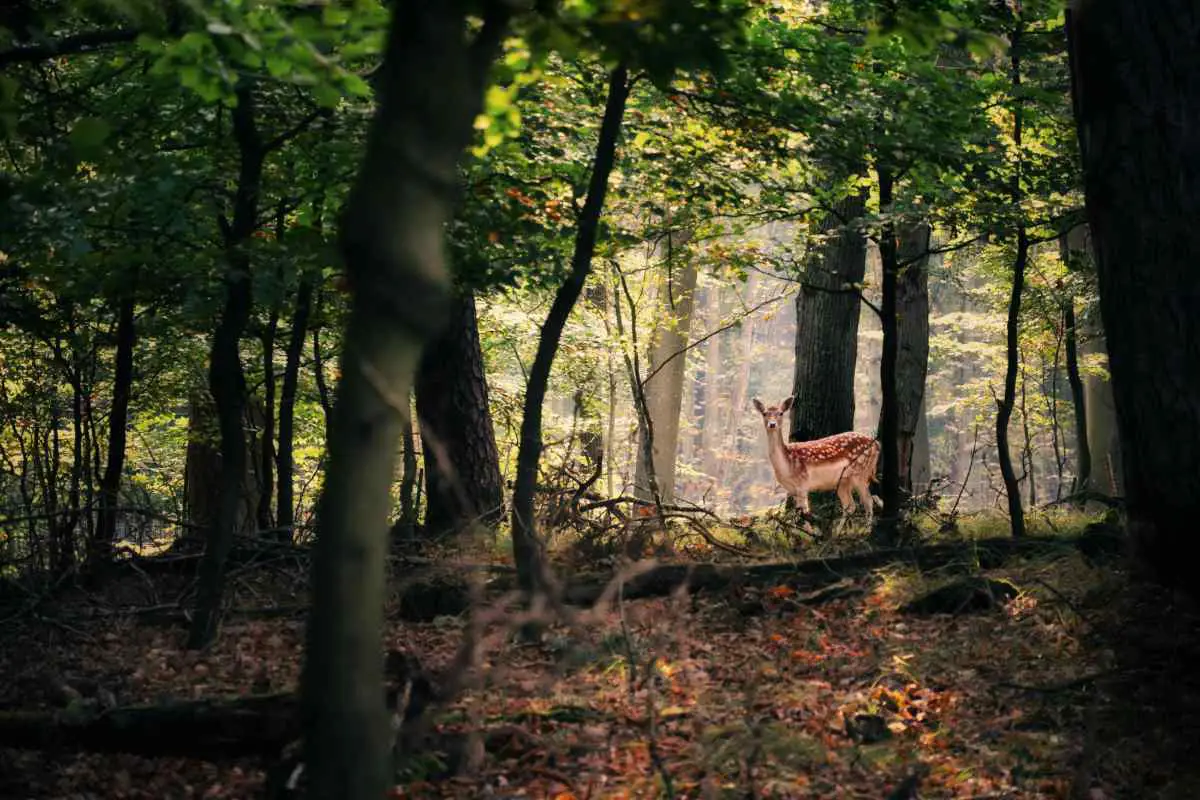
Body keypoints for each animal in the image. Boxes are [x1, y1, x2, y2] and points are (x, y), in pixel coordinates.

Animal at [752, 396, 882, 535]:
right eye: (764, 413)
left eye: (781, 413)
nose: (772, 424)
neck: (786, 466)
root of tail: (877, 444)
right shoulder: (792, 489)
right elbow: (799, 514)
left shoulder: (803, 483)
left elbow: (805, 512)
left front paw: (809, 535)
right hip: (843, 482)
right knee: (850, 506)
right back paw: (837, 534)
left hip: (861, 472)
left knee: (868, 501)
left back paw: (867, 531)